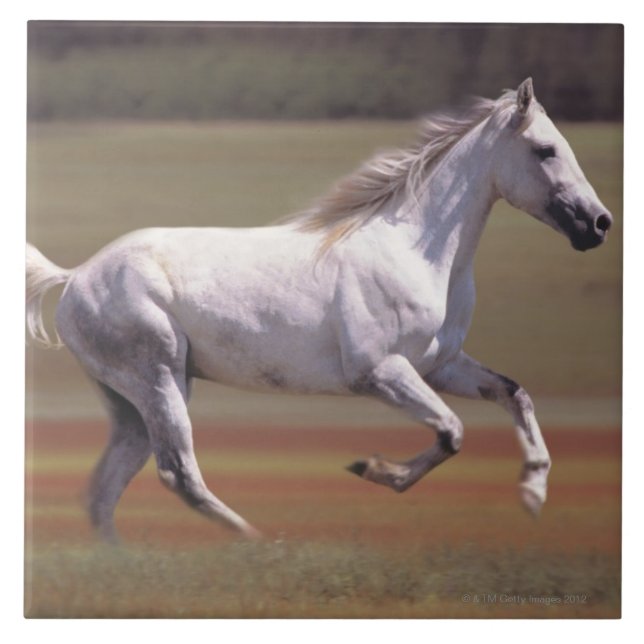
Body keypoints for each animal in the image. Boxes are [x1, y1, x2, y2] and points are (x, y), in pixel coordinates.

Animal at [26, 78, 613, 542]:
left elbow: (516, 395)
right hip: (161, 380)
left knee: (104, 490)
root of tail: (76, 275)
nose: (599, 223)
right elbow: (451, 431)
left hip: (129, 401)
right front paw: (370, 469)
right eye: (545, 150)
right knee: (178, 473)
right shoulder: (380, 372)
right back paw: (257, 541)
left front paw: (533, 492)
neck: (415, 248)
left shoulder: (441, 365)